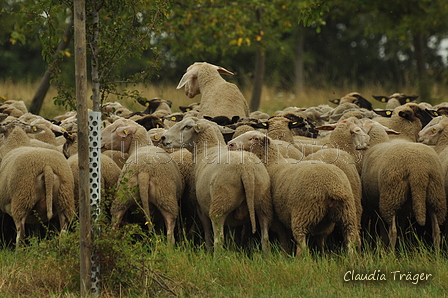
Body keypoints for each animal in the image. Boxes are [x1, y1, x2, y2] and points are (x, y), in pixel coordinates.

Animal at [161, 117, 272, 253]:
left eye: (187, 126)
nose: (163, 137)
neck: (208, 148)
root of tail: (246, 169)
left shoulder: (201, 209)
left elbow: (208, 233)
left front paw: (208, 251)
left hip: (220, 204)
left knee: (218, 240)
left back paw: (217, 256)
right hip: (263, 204)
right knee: (265, 238)